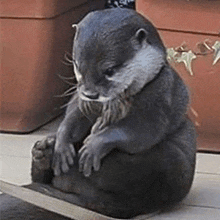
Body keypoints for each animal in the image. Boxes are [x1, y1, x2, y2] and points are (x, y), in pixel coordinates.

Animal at [30, 8, 196, 218]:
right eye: (78, 65)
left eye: (109, 70)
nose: (90, 93)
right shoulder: (80, 101)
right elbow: (72, 119)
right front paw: (61, 143)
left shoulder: (161, 93)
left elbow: (141, 131)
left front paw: (94, 145)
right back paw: (44, 152)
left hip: (168, 164)